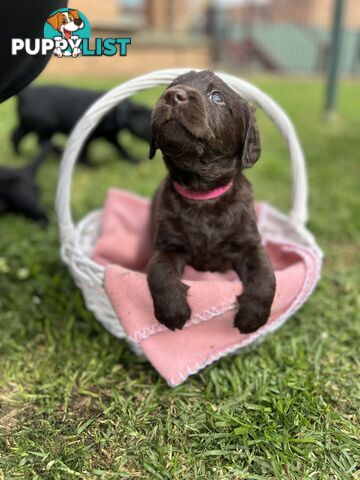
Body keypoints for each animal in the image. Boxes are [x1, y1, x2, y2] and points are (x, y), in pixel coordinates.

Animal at [11, 86, 153, 167]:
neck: (117, 112)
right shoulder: (87, 136)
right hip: (46, 126)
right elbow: (85, 151)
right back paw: (60, 152)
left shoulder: (111, 136)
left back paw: (19, 155)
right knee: (42, 142)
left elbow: (122, 150)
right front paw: (88, 166)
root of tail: (25, 94)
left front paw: (134, 161)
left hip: (26, 125)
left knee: (15, 136)